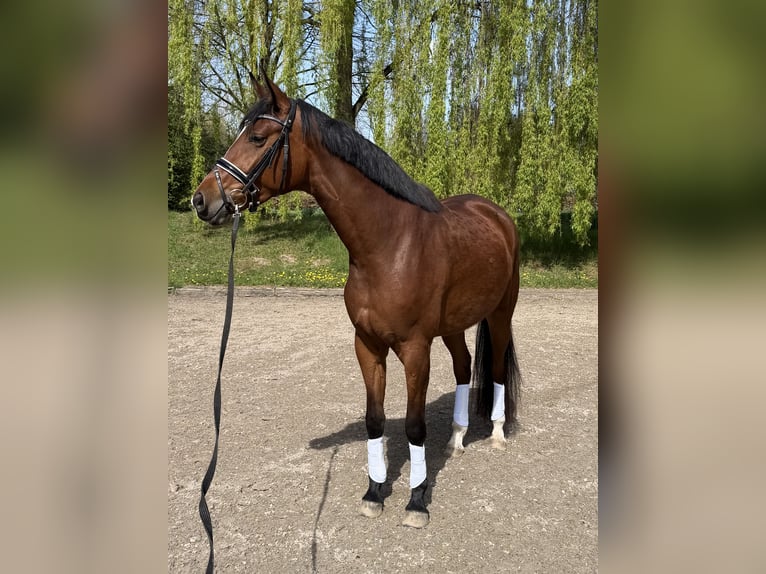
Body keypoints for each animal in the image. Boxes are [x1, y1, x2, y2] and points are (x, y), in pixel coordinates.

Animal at [192, 69, 521, 528]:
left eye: (257, 137)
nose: (202, 199)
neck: (389, 245)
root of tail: (496, 213)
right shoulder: (367, 345)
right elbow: (374, 420)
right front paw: (374, 491)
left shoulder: (415, 349)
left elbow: (414, 426)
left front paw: (416, 501)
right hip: (453, 325)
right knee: (463, 366)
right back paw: (456, 440)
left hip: (501, 313)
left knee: (495, 367)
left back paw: (496, 435)